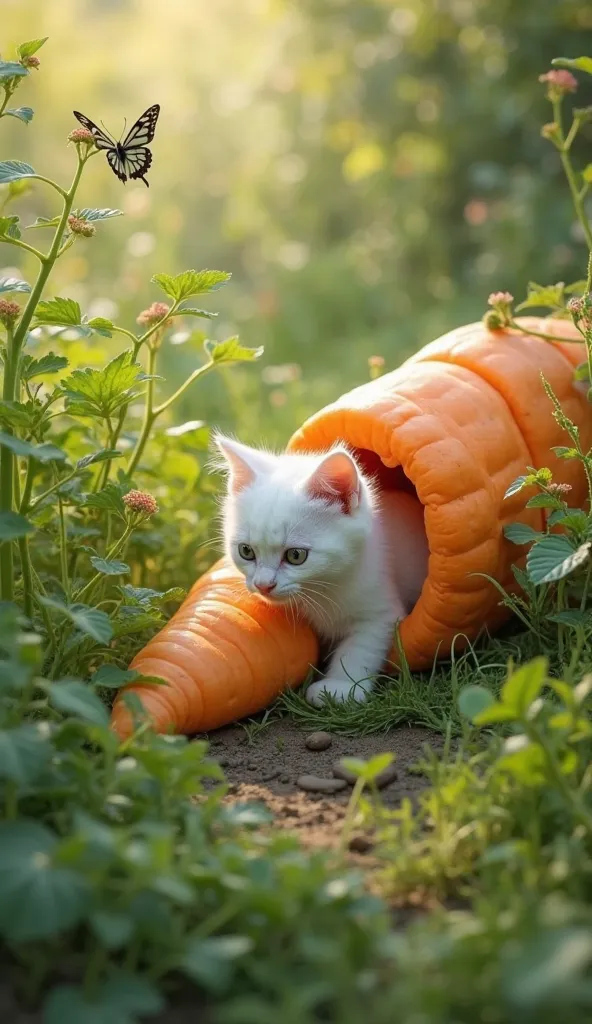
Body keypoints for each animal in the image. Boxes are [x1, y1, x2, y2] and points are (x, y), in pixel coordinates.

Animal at [214, 436, 426, 708]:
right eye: (246, 551)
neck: (322, 588)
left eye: (296, 556)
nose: (263, 584)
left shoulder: (381, 609)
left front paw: (341, 687)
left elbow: (360, 647)